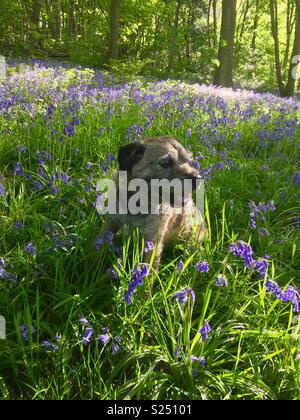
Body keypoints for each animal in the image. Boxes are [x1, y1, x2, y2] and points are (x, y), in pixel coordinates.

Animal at [99, 136, 207, 270]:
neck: (139, 202)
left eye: (189, 161)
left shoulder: (153, 243)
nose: (199, 179)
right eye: (166, 163)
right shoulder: (110, 223)